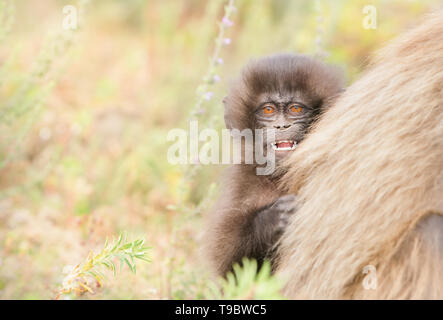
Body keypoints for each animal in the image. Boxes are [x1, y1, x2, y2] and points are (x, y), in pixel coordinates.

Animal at [205, 53, 346, 276]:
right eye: (268, 110)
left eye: (295, 109)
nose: (282, 125)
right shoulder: (244, 181)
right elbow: (229, 268)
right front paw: (272, 220)